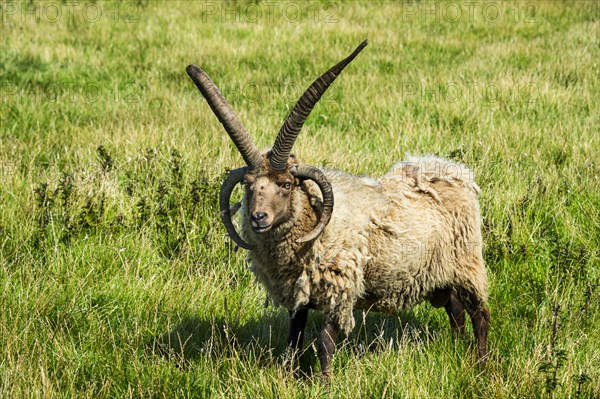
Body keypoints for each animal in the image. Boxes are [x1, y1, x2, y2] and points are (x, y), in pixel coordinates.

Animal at [185, 39, 490, 380]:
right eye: (249, 185)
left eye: (286, 184)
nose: (258, 218)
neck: (316, 224)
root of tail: (451, 171)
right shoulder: (299, 292)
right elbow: (294, 338)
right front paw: (290, 376)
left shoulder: (340, 287)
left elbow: (324, 341)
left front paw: (325, 382)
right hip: (438, 274)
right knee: (455, 309)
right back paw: (458, 348)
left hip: (466, 263)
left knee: (480, 314)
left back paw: (481, 363)